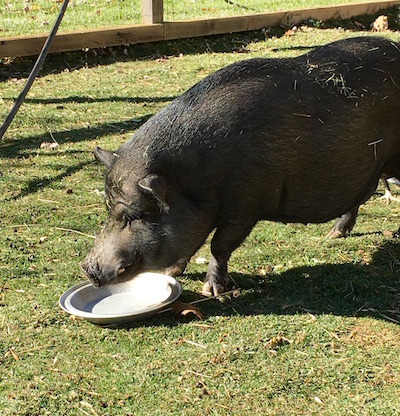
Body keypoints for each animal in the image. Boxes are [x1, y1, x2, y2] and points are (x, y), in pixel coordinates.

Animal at [80, 36, 400, 296]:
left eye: (135, 215)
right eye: (108, 209)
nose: (88, 269)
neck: (197, 177)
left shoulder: (245, 207)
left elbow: (219, 245)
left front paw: (212, 291)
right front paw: (171, 273)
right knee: (358, 198)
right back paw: (332, 236)